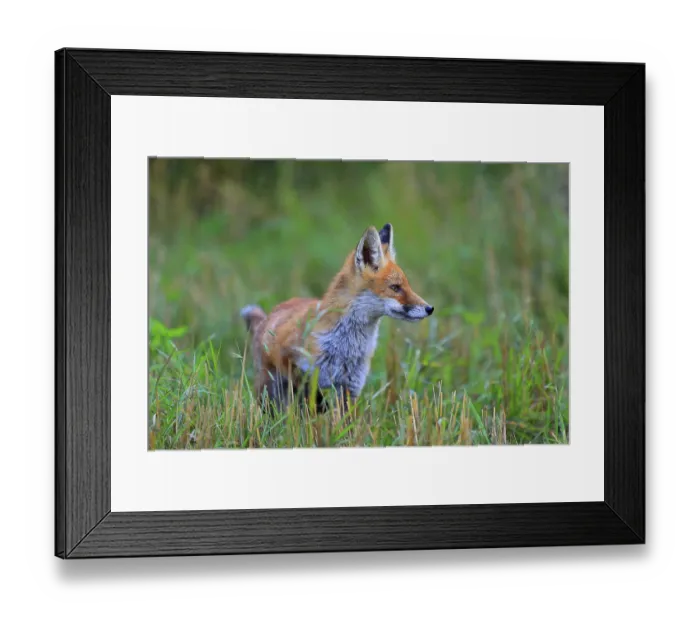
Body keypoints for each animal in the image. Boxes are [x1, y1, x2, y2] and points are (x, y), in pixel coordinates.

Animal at [240, 223, 434, 410]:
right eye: (395, 287)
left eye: (407, 286)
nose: (430, 308)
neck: (346, 346)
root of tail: (269, 315)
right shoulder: (294, 365)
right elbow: (311, 403)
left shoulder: (351, 386)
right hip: (269, 388)